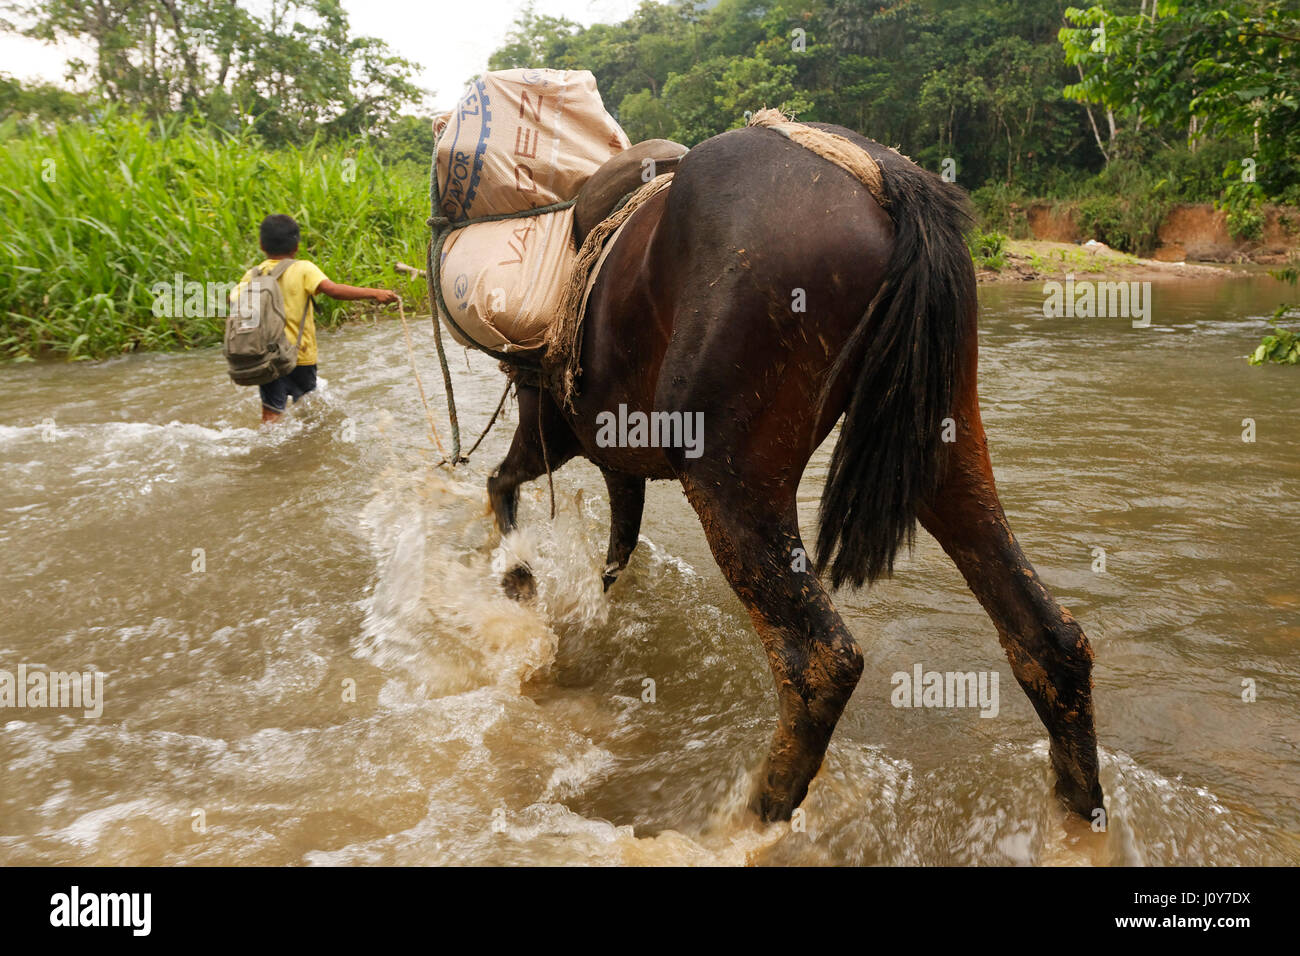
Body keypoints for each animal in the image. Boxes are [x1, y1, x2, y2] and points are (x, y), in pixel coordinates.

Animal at [483, 119, 1102, 822]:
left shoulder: (553, 417)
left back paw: (758, 813)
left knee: (820, 660)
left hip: (727, 470)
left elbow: (508, 482)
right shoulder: (613, 448)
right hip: (945, 441)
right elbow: (616, 544)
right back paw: (1081, 808)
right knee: (1049, 637)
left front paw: (521, 576)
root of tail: (886, 176)